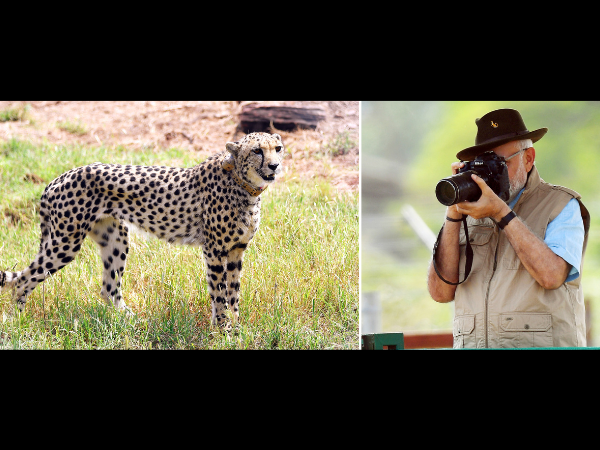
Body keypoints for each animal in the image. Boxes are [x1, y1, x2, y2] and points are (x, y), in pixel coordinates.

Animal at [0, 132, 284, 328]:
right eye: (257, 150)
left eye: (278, 149)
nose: (274, 166)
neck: (244, 185)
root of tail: (59, 177)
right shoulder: (214, 250)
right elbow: (219, 292)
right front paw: (223, 329)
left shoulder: (237, 250)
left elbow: (234, 291)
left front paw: (237, 328)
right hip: (65, 242)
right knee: (23, 280)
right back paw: (19, 321)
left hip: (115, 239)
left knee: (108, 288)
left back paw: (131, 321)